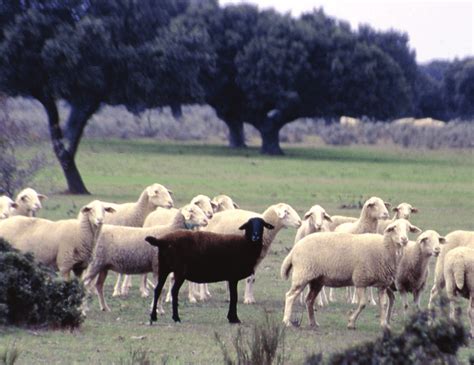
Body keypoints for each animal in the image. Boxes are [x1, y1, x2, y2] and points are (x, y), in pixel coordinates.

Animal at [145, 215, 274, 322]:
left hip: (164, 267)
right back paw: (176, 317)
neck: (245, 245)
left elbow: (233, 297)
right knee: (173, 291)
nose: (255, 236)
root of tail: (162, 240)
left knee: (158, 289)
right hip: (179, 271)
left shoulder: (232, 278)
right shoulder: (233, 277)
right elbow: (234, 297)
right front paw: (234, 319)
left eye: (262, 225)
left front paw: (231, 317)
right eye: (249, 225)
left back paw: (154, 316)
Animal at [280, 219, 420, 330]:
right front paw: (351, 323)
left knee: (309, 300)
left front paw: (384, 324)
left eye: (408, 228)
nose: (404, 239)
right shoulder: (360, 280)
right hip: (302, 274)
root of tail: (294, 249)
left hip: (316, 280)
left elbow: (384, 305)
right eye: (394, 228)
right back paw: (287, 322)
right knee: (290, 296)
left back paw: (313, 323)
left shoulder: (382, 284)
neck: (384, 248)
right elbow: (362, 304)